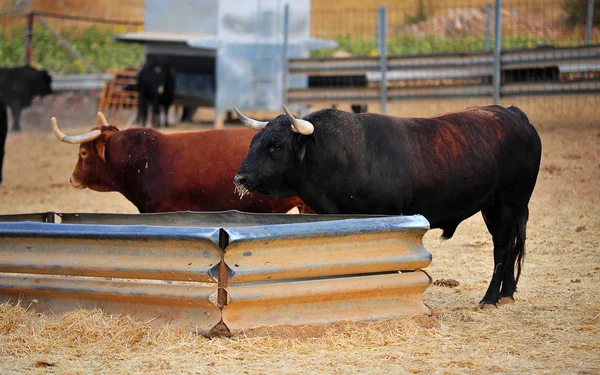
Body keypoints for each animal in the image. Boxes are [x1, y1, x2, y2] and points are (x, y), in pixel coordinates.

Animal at [234, 104, 544, 306]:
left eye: (275, 145)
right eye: (253, 142)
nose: (240, 177)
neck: (346, 155)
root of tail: (513, 114)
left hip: (507, 203)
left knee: (502, 248)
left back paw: (490, 298)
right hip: (499, 209)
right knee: (511, 245)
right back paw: (507, 293)